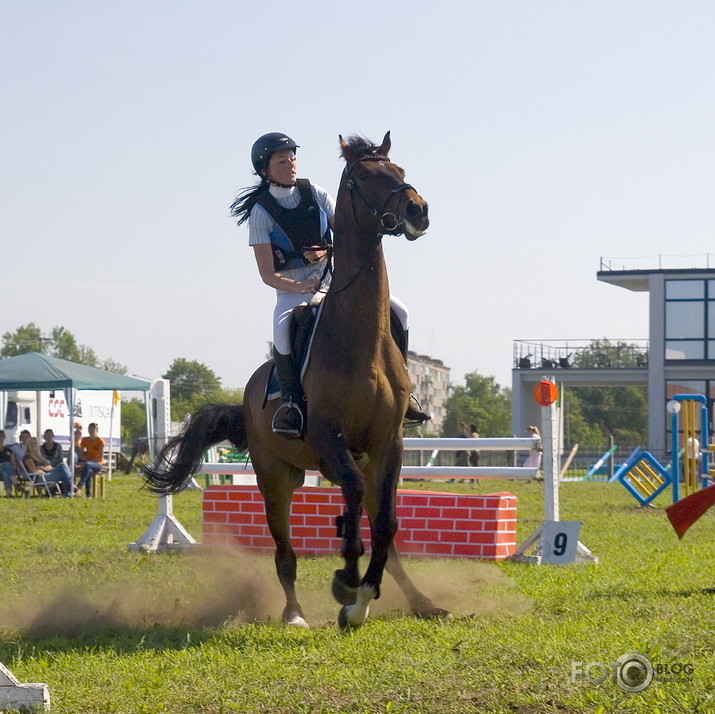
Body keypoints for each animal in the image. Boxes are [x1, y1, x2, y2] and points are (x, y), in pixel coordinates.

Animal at [144, 131, 448, 624]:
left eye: (399, 171)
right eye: (366, 177)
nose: (417, 210)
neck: (360, 339)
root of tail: (249, 392)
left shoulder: (388, 443)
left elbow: (386, 523)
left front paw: (362, 598)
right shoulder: (328, 437)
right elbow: (353, 500)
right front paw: (347, 584)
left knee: (375, 524)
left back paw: (418, 601)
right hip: (275, 477)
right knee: (284, 551)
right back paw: (294, 613)